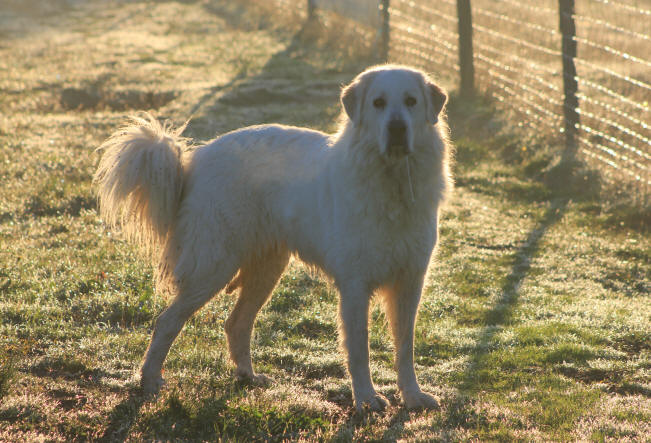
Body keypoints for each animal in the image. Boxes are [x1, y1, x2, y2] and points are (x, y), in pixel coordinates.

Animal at [94, 64, 454, 412]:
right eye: (379, 103)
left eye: (411, 101)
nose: (397, 128)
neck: (392, 179)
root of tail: (195, 158)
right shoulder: (355, 285)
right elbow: (359, 350)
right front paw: (366, 399)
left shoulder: (411, 281)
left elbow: (405, 348)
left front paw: (412, 396)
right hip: (212, 268)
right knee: (167, 321)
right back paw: (150, 380)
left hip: (266, 270)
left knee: (236, 323)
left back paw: (248, 377)